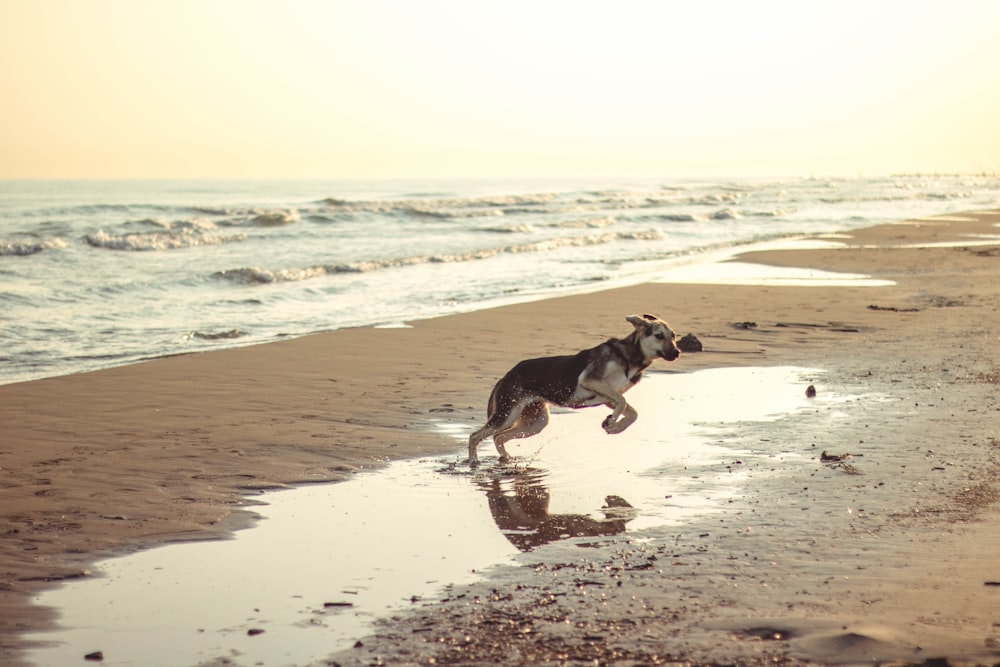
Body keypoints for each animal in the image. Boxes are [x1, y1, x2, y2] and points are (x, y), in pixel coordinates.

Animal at [468, 316, 680, 468]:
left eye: (673, 336)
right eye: (659, 336)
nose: (677, 353)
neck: (629, 356)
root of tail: (505, 376)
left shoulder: (606, 396)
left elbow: (630, 410)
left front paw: (616, 426)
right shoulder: (591, 380)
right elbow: (622, 401)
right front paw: (612, 422)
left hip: (536, 422)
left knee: (498, 437)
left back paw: (506, 460)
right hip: (507, 414)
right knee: (476, 436)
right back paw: (473, 462)